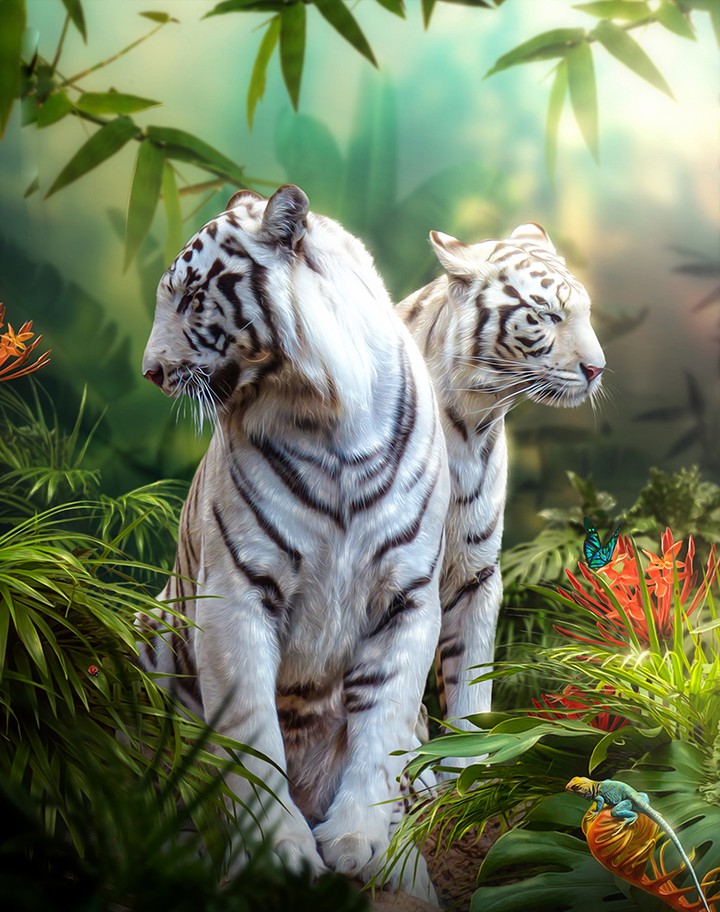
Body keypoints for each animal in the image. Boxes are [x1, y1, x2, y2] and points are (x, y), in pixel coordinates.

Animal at [138, 184, 449, 898]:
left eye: (191, 297)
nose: (151, 372)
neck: (329, 413)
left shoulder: (410, 597)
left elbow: (383, 723)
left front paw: (359, 840)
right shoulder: (235, 594)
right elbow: (252, 738)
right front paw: (279, 853)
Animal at [397, 223, 606, 763]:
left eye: (585, 312)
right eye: (549, 315)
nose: (598, 369)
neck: (470, 424)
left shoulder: (478, 573)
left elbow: (470, 691)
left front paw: (468, 771)